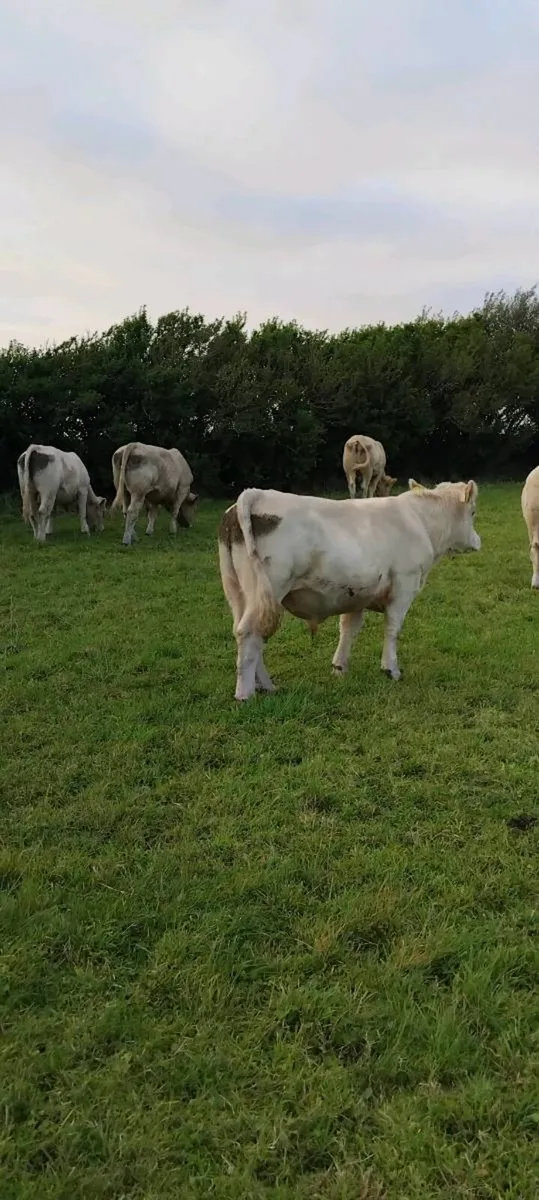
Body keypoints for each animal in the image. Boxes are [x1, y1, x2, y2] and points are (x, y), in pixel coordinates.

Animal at [218, 481, 481, 700]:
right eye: (473, 512)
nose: (478, 541)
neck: (419, 521)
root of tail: (255, 493)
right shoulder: (405, 584)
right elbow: (393, 628)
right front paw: (391, 669)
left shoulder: (358, 593)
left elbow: (348, 629)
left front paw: (339, 667)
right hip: (270, 586)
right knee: (248, 633)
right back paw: (245, 694)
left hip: (240, 592)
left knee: (252, 633)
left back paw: (266, 685)